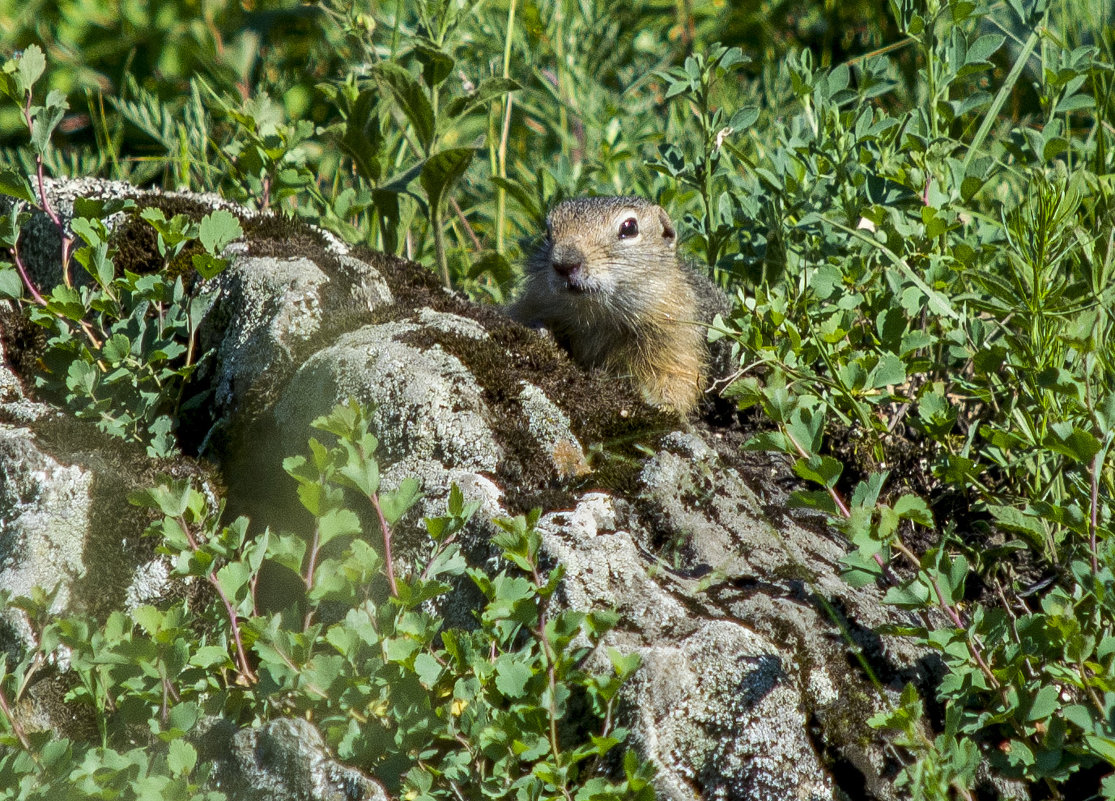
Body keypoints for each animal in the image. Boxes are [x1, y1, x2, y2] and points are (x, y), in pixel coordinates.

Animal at [510, 194, 726, 415]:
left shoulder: (676, 338)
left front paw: (663, 405)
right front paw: (543, 331)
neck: (595, 317)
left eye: (629, 228)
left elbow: (677, 379)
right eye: (547, 232)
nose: (565, 263)